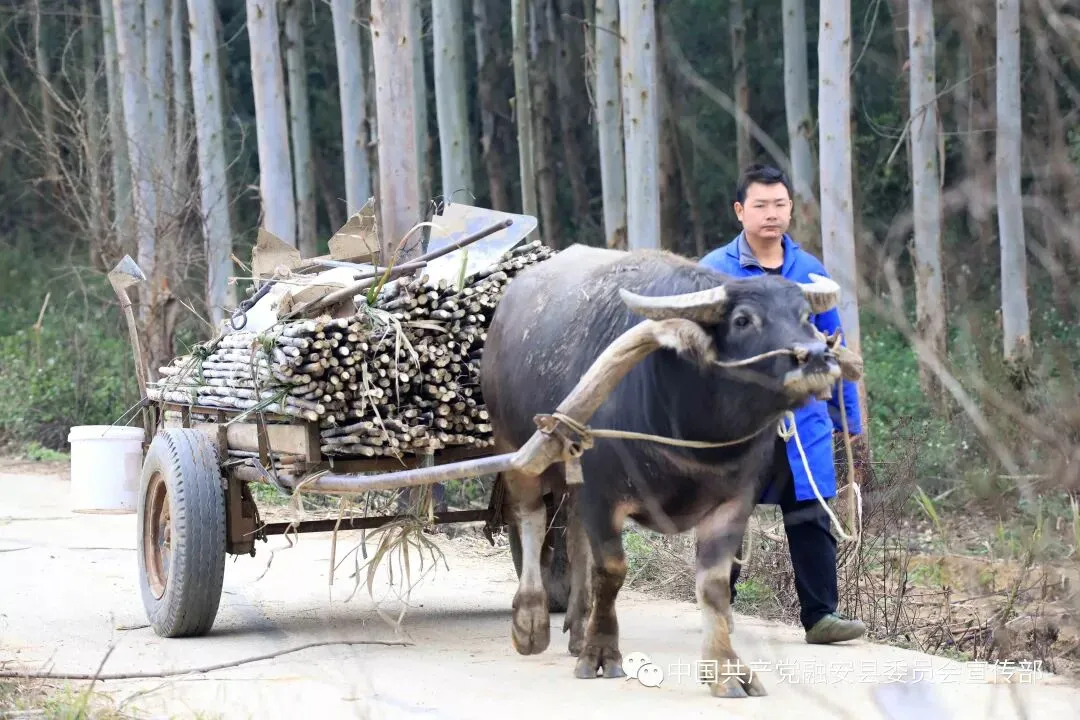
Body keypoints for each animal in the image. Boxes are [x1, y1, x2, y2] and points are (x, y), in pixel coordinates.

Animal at [480, 244, 848, 698]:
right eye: (743, 319)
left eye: (806, 316)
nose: (815, 357)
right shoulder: (603, 494)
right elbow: (611, 571)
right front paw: (601, 654)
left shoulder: (734, 501)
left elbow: (714, 586)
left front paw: (726, 669)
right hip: (515, 450)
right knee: (530, 522)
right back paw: (531, 622)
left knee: (574, 538)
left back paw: (578, 629)